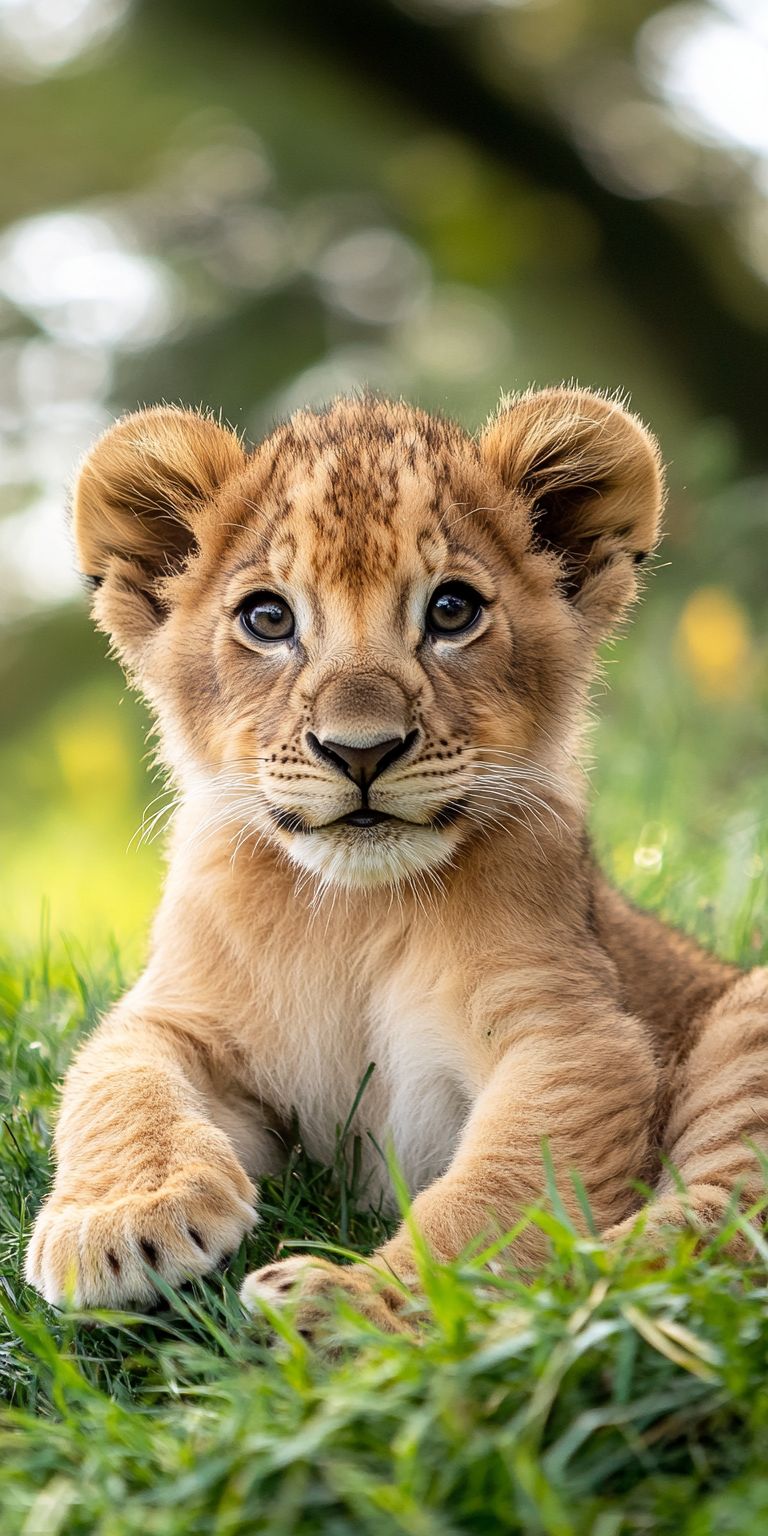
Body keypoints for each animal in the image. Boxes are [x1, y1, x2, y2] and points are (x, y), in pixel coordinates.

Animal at [25, 387, 768, 1332]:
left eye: (452, 612)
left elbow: (500, 1198)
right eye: (268, 619)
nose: (362, 750)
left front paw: (360, 1304)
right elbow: (118, 1077)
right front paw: (121, 1221)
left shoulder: (574, 1036)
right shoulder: (182, 1014)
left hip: (748, 1025)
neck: (355, 914)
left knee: (720, 1233)